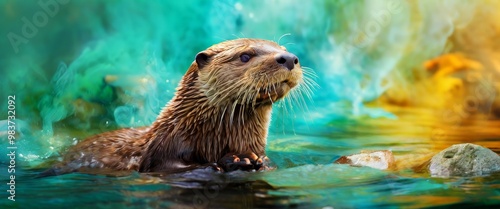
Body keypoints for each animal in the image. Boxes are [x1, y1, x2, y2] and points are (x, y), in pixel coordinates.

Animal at [43, 38, 302, 176]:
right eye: (245, 56)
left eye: (282, 48)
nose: (289, 58)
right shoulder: (160, 153)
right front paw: (235, 160)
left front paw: (254, 160)